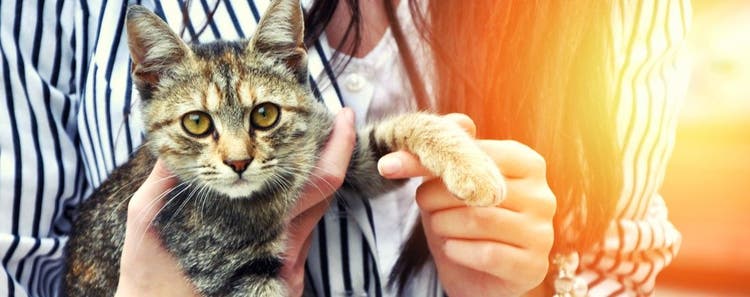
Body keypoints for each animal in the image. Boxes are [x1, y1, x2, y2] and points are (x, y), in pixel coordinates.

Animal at [64, 1, 508, 294]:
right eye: (197, 123)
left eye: (265, 114)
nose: (239, 161)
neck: (267, 195)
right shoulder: (232, 269)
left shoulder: (339, 151)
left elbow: (400, 128)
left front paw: (473, 166)